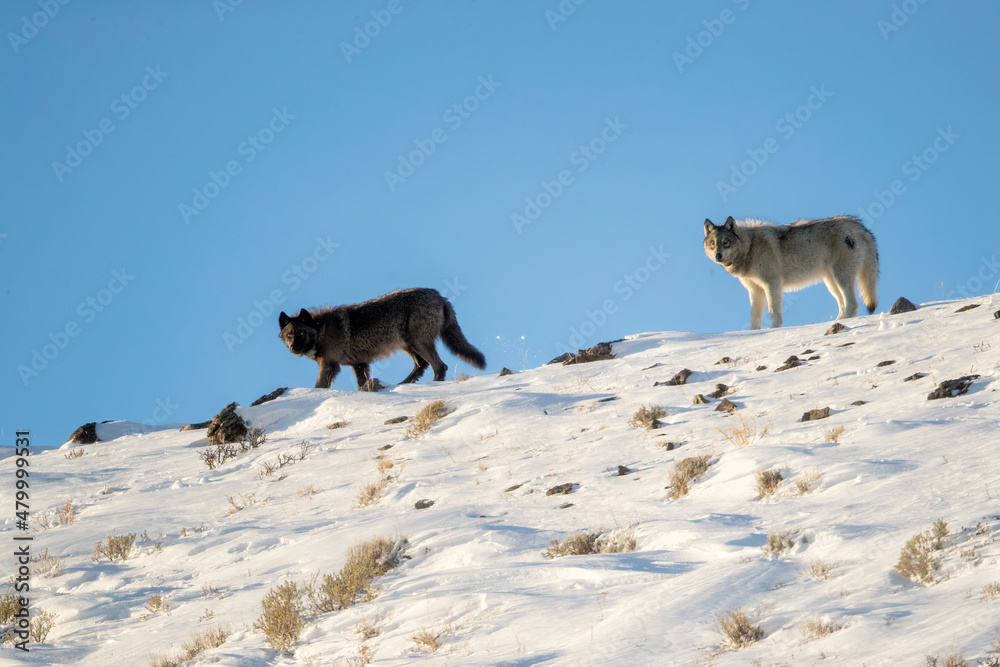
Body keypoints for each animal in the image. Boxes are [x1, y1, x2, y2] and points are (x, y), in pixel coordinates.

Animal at [278, 288, 486, 389]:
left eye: (301, 334)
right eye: (289, 336)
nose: (294, 348)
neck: (321, 330)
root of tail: (441, 297)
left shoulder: (329, 365)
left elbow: (320, 386)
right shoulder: (359, 364)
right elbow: (361, 384)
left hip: (418, 344)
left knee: (439, 366)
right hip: (408, 345)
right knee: (421, 365)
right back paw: (404, 383)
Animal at [703, 215, 878, 329]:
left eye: (726, 242)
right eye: (713, 243)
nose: (718, 255)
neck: (750, 247)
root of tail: (860, 226)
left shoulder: (772, 283)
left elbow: (774, 313)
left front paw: (774, 330)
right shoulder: (755, 291)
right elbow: (754, 319)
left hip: (840, 277)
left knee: (853, 304)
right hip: (831, 282)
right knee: (843, 305)